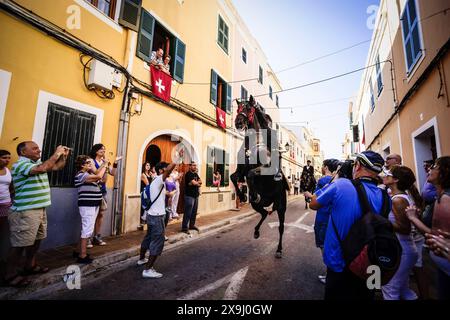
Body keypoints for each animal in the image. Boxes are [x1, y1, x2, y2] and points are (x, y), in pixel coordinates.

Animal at [230, 96, 290, 258]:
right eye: (238, 109)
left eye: (249, 109)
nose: (238, 122)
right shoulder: (240, 170)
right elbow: (233, 177)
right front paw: (242, 195)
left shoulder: (265, 168)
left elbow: (251, 174)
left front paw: (252, 193)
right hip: (258, 205)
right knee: (264, 213)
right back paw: (256, 231)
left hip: (281, 206)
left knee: (281, 227)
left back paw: (279, 250)